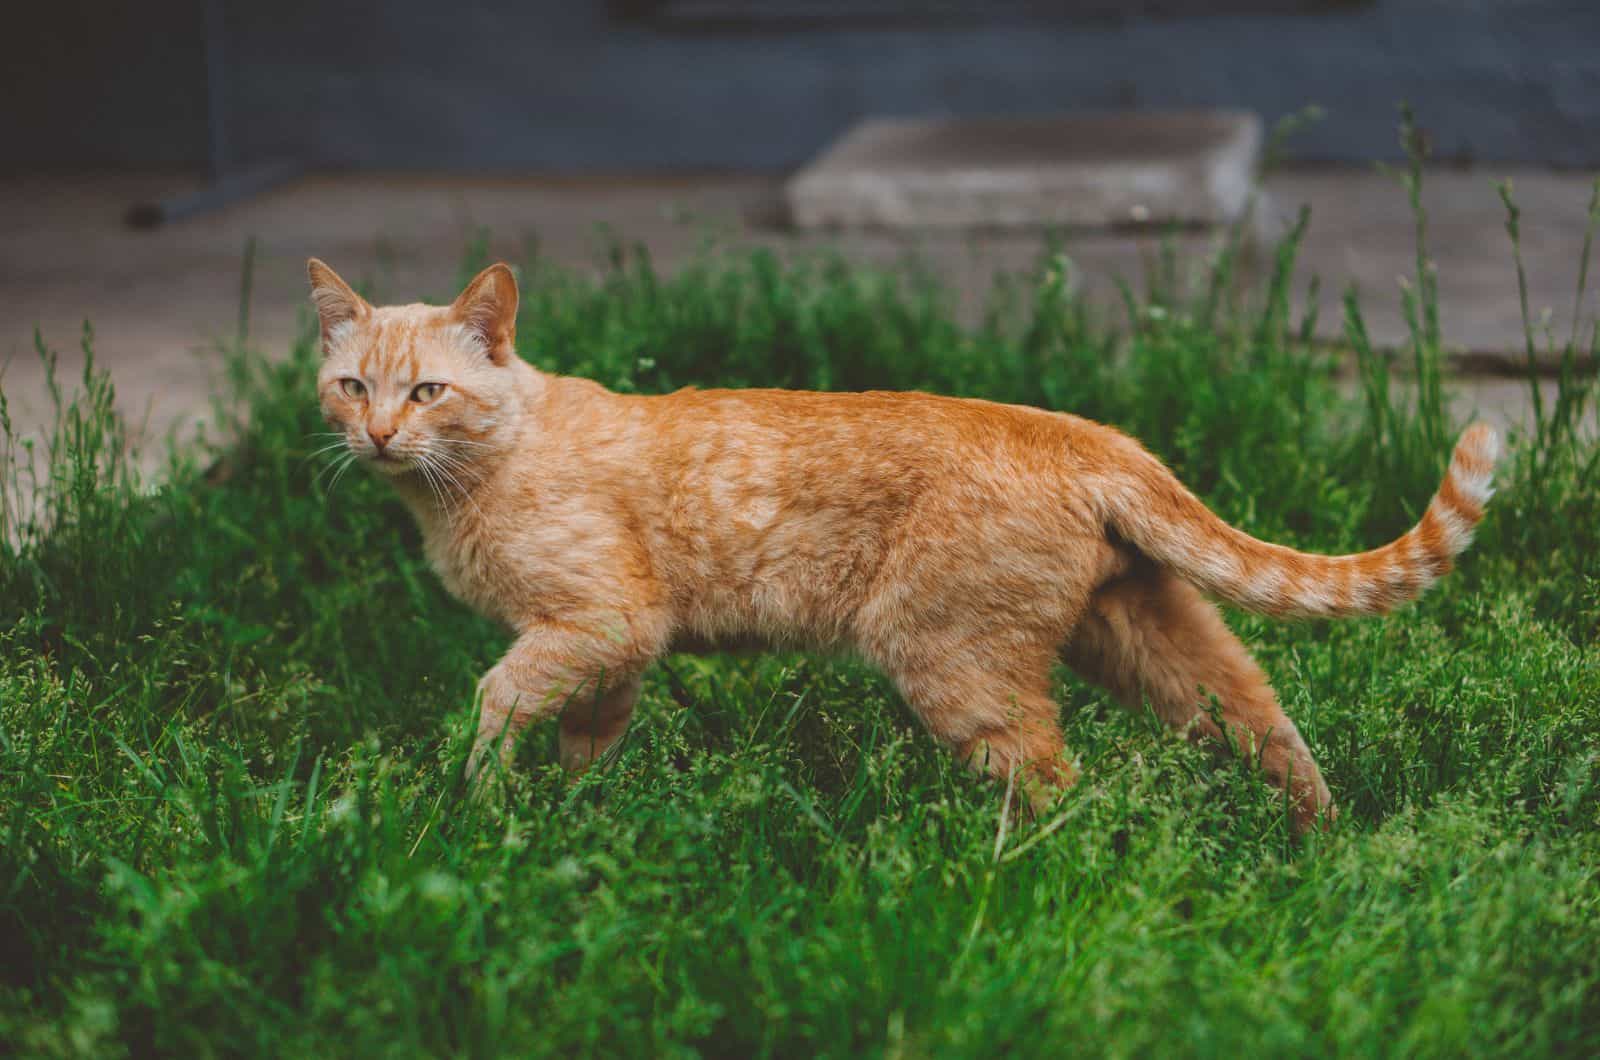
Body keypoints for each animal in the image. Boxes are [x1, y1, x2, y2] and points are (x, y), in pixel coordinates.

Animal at [308, 260, 1497, 832]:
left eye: (427, 391)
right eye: (351, 385)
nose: (378, 435)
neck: (475, 476)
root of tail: (1087, 431)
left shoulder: (600, 619)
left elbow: (495, 699)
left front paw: (479, 809)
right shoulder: (612, 653)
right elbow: (586, 738)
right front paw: (574, 820)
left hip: (951, 664)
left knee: (1060, 785)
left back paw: (1020, 874)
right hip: (1147, 636)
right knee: (1264, 724)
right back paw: (1315, 852)